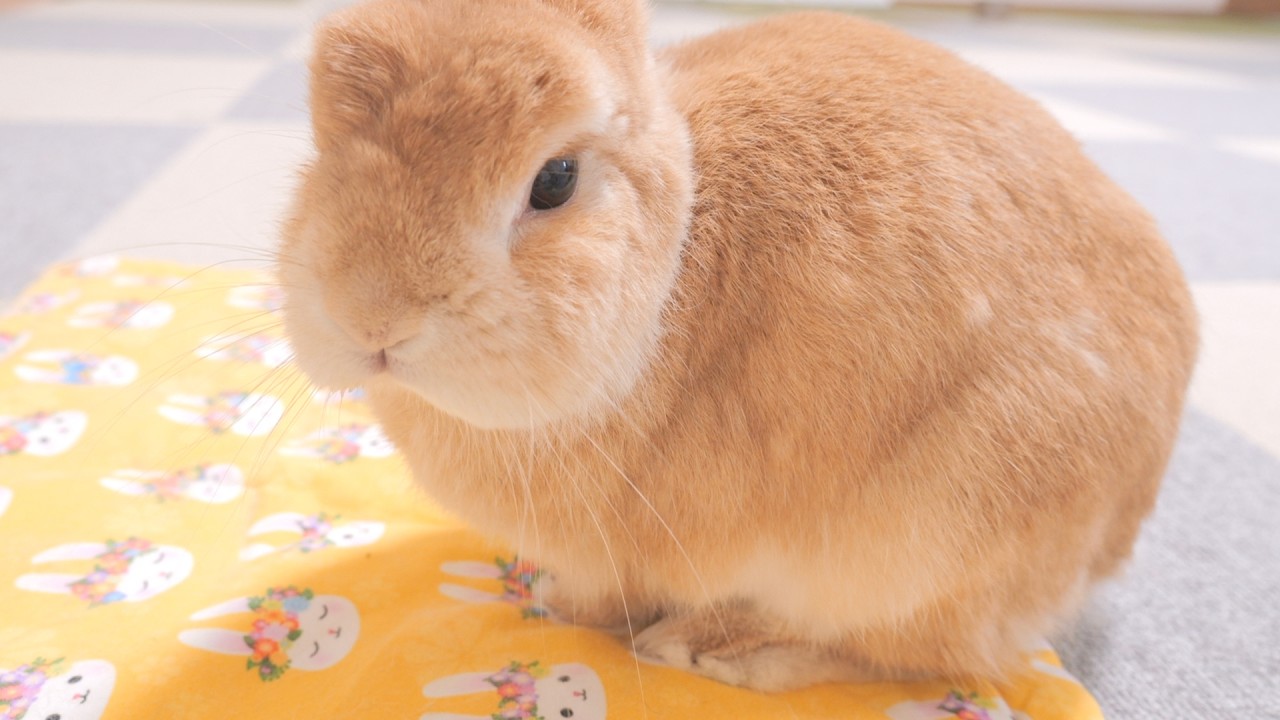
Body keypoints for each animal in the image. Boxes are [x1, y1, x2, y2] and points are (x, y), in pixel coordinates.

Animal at [277, 0, 1199, 691]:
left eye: (556, 180)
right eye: (318, 149)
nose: (373, 320)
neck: (674, 259)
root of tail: (1122, 524)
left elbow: (602, 598)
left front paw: (558, 607)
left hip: (922, 542)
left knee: (913, 655)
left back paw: (711, 647)